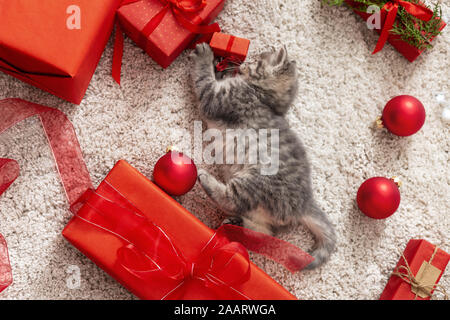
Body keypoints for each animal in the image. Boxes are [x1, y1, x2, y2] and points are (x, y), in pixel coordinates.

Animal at [189, 42, 334, 268]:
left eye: (256, 61)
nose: (244, 63)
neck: (264, 99)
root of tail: (305, 203)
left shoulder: (217, 97)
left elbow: (203, 79)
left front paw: (205, 56)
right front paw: (219, 66)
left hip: (255, 182)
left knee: (231, 200)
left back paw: (207, 181)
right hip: (260, 211)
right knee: (262, 235)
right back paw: (236, 225)